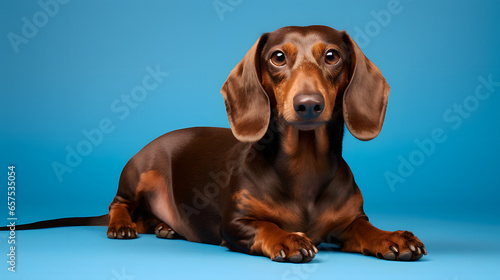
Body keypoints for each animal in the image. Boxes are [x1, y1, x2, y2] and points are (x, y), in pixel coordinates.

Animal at [4, 24, 426, 262]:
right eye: (277, 57)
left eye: (333, 56)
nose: (308, 105)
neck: (304, 167)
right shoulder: (235, 224)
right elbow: (266, 226)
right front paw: (289, 238)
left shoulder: (351, 222)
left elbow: (367, 230)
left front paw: (393, 237)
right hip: (140, 173)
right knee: (117, 204)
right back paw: (123, 225)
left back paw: (165, 227)